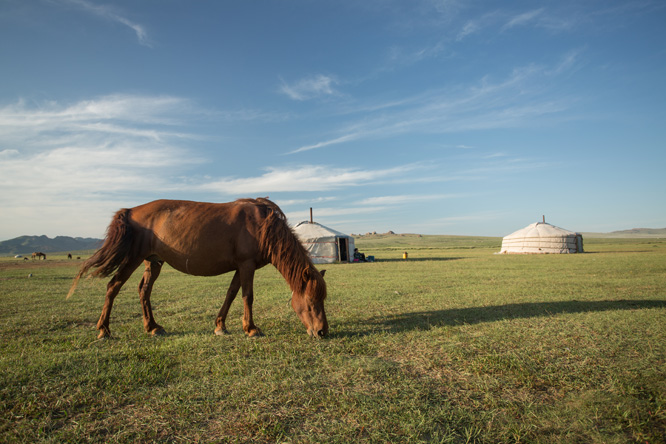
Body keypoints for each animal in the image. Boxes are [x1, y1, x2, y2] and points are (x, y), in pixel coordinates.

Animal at [67, 199, 326, 340]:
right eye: (311, 302)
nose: (322, 331)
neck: (262, 225)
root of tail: (131, 211)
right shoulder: (246, 265)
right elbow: (247, 296)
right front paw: (251, 329)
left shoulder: (239, 267)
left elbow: (231, 294)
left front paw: (220, 326)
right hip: (133, 258)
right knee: (113, 286)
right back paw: (104, 330)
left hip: (153, 261)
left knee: (144, 291)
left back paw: (152, 327)